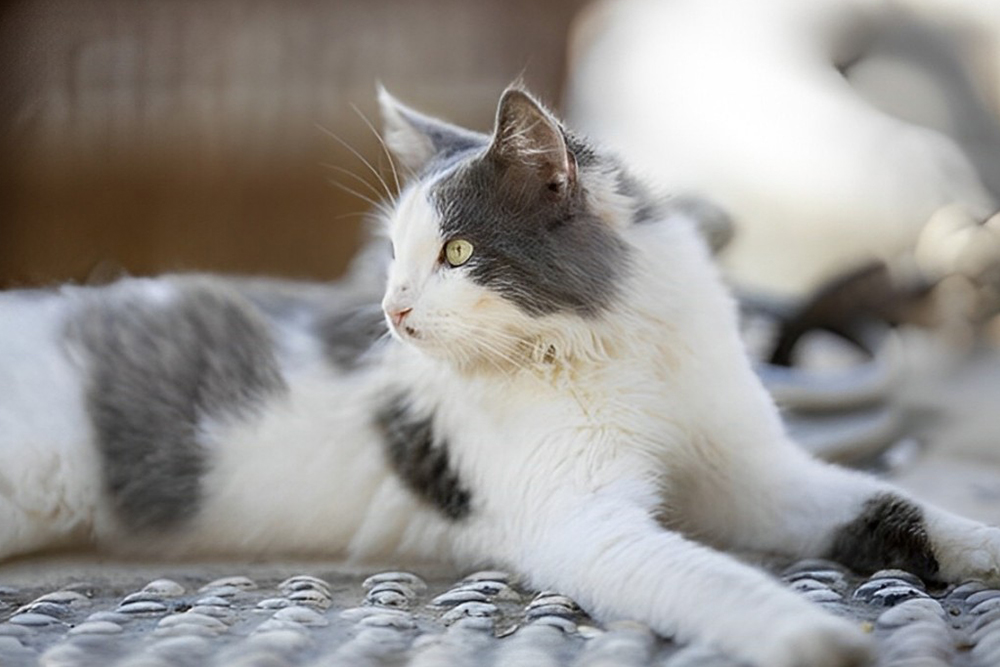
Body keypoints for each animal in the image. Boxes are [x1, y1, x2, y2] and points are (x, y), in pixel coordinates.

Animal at [1, 85, 1000, 667]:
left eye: (456, 251)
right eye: (392, 255)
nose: (393, 313)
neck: (619, 347)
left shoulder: (757, 473)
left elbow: (900, 507)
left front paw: (980, 546)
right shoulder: (582, 523)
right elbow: (712, 578)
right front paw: (814, 636)